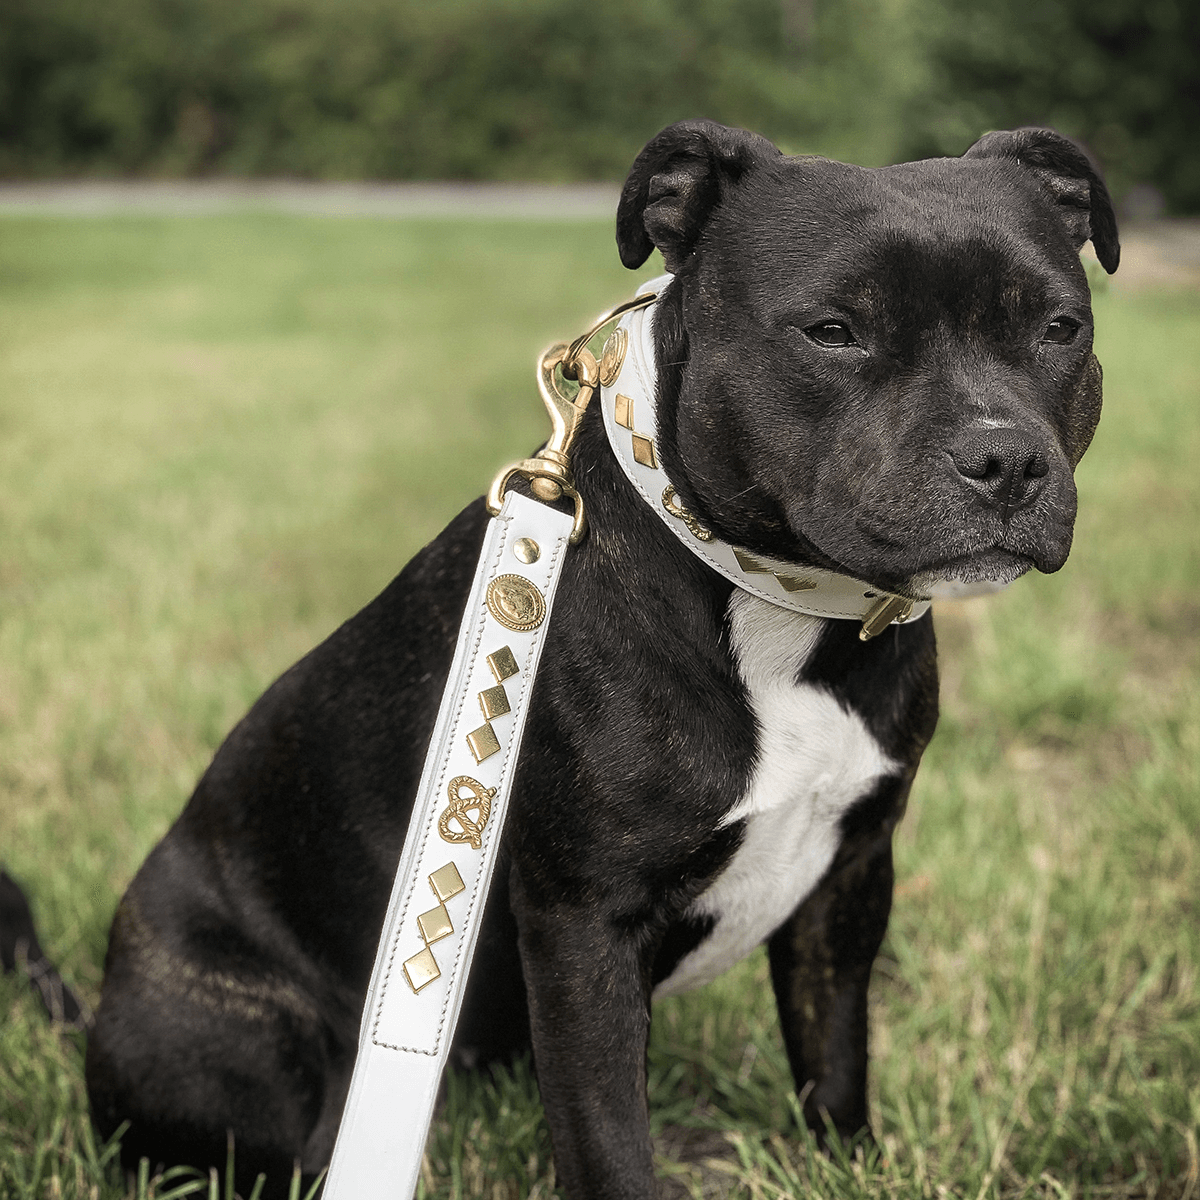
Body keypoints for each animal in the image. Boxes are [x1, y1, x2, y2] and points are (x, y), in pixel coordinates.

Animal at [84, 117, 1113, 1195]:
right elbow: (610, 1135)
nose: (1003, 459)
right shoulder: (585, 931)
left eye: (1059, 329)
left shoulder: (851, 876)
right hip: (249, 1057)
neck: (778, 608)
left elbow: (834, 1054)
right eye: (834, 331)